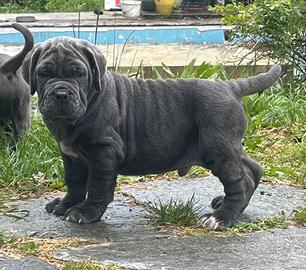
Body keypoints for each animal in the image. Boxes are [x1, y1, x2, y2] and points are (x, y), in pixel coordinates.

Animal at [22, 37, 282, 229]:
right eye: (44, 74)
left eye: (78, 73)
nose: (61, 94)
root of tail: (229, 86)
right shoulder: (70, 155)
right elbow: (74, 182)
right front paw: (65, 204)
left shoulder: (103, 152)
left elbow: (97, 186)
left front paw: (86, 212)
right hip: (226, 146)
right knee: (252, 168)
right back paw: (227, 205)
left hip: (217, 147)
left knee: (239, 180)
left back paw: (221, 217)